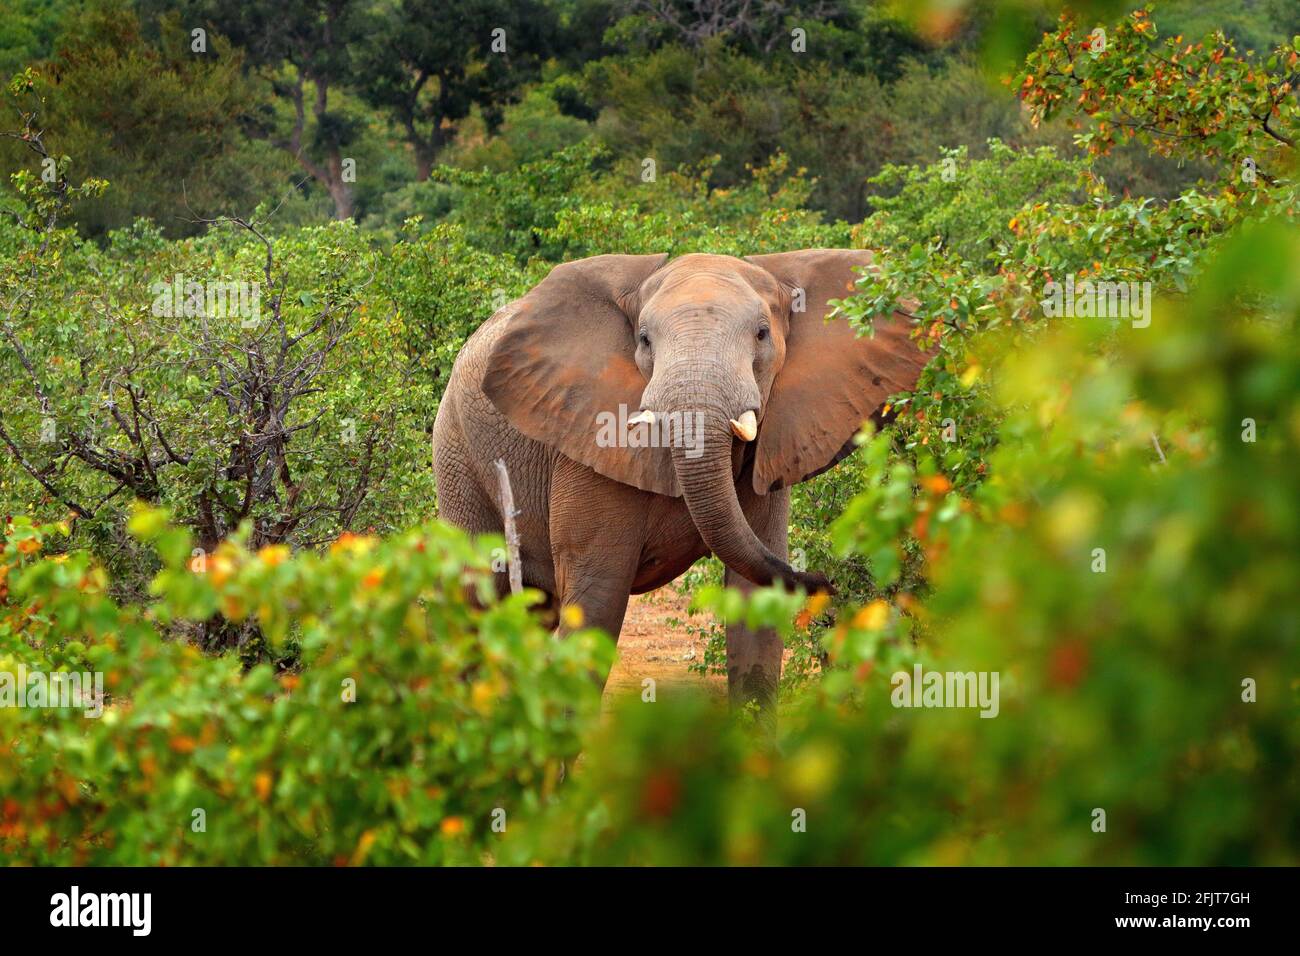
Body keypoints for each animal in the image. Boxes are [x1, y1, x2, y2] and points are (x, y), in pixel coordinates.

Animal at [436, 251, 935, 712]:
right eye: (643, 340)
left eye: (762, 334)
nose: (827, 581)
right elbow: (596, 601)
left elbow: (754, 608)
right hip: (457, 451)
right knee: (477, 602)